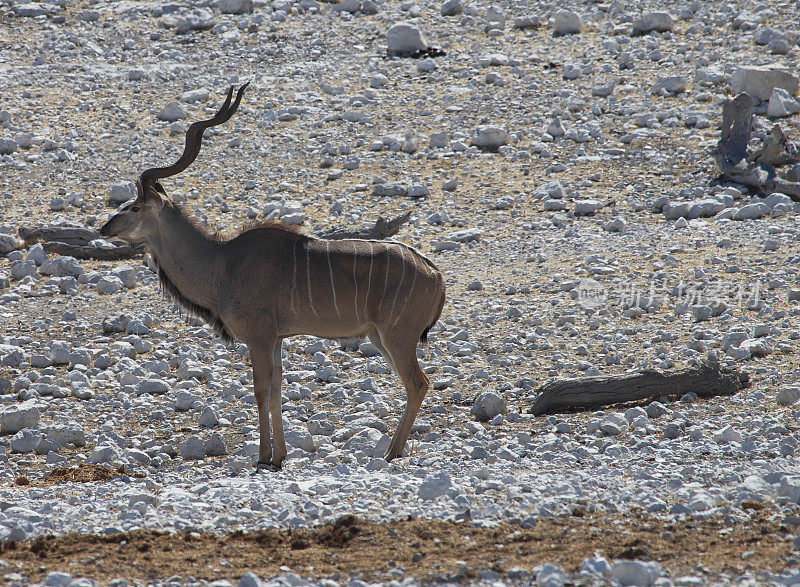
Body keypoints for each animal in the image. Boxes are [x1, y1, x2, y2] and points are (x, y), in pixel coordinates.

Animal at [100, 85, 446, 470]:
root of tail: (435, 273)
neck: (223, 263)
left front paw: (264, 457)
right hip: (379, 336)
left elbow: (260, 390)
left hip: (398, 336)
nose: (104, 228)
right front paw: (280, 454)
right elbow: (278, 389)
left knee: (418, 383)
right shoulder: (278, 337)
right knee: (415, 383)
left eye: (134, 207)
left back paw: (391, 451)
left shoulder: (259, 336)